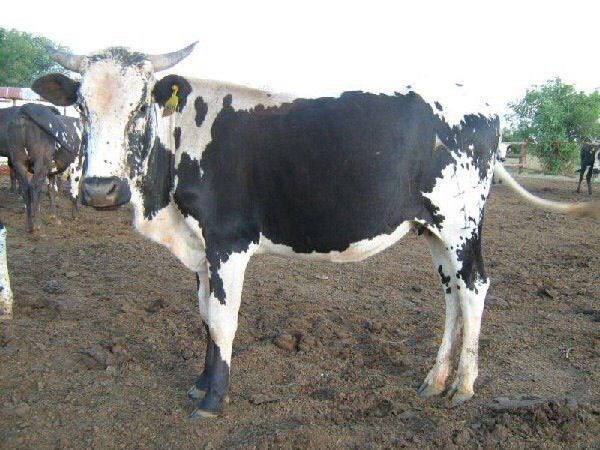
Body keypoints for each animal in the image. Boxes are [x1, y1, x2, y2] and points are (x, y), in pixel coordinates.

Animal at [34, 44, 600, 418]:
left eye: (140, 107)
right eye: (80, 106)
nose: (100, 189)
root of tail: (480, 102)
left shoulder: (228, 241)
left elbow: (222, 321)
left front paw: (213, 400)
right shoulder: (201, 247)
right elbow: (203, 316)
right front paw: (199, 384)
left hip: (460, 224)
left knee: (476, 287)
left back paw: (463, 384)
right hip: (435, 231)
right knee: (453, 295)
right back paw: (435, 379)